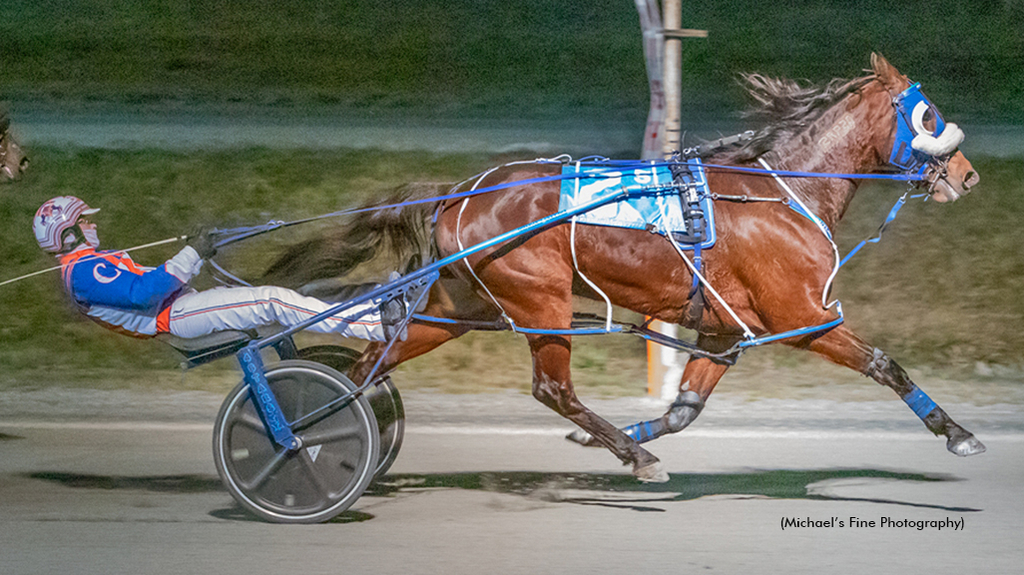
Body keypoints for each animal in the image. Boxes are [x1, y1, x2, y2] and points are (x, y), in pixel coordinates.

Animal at [264, 54, 983, 482]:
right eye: (928, 115)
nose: (968, 175)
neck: (781, 193)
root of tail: (461, 189)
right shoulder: (803, 316)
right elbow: (887, 365)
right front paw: (957, 433)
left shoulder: (725, 329)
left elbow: (686, 407)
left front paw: (622, 435)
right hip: (541, 302)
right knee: (552, 389)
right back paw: (636, 457)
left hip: (459, 302)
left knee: (376, 360)